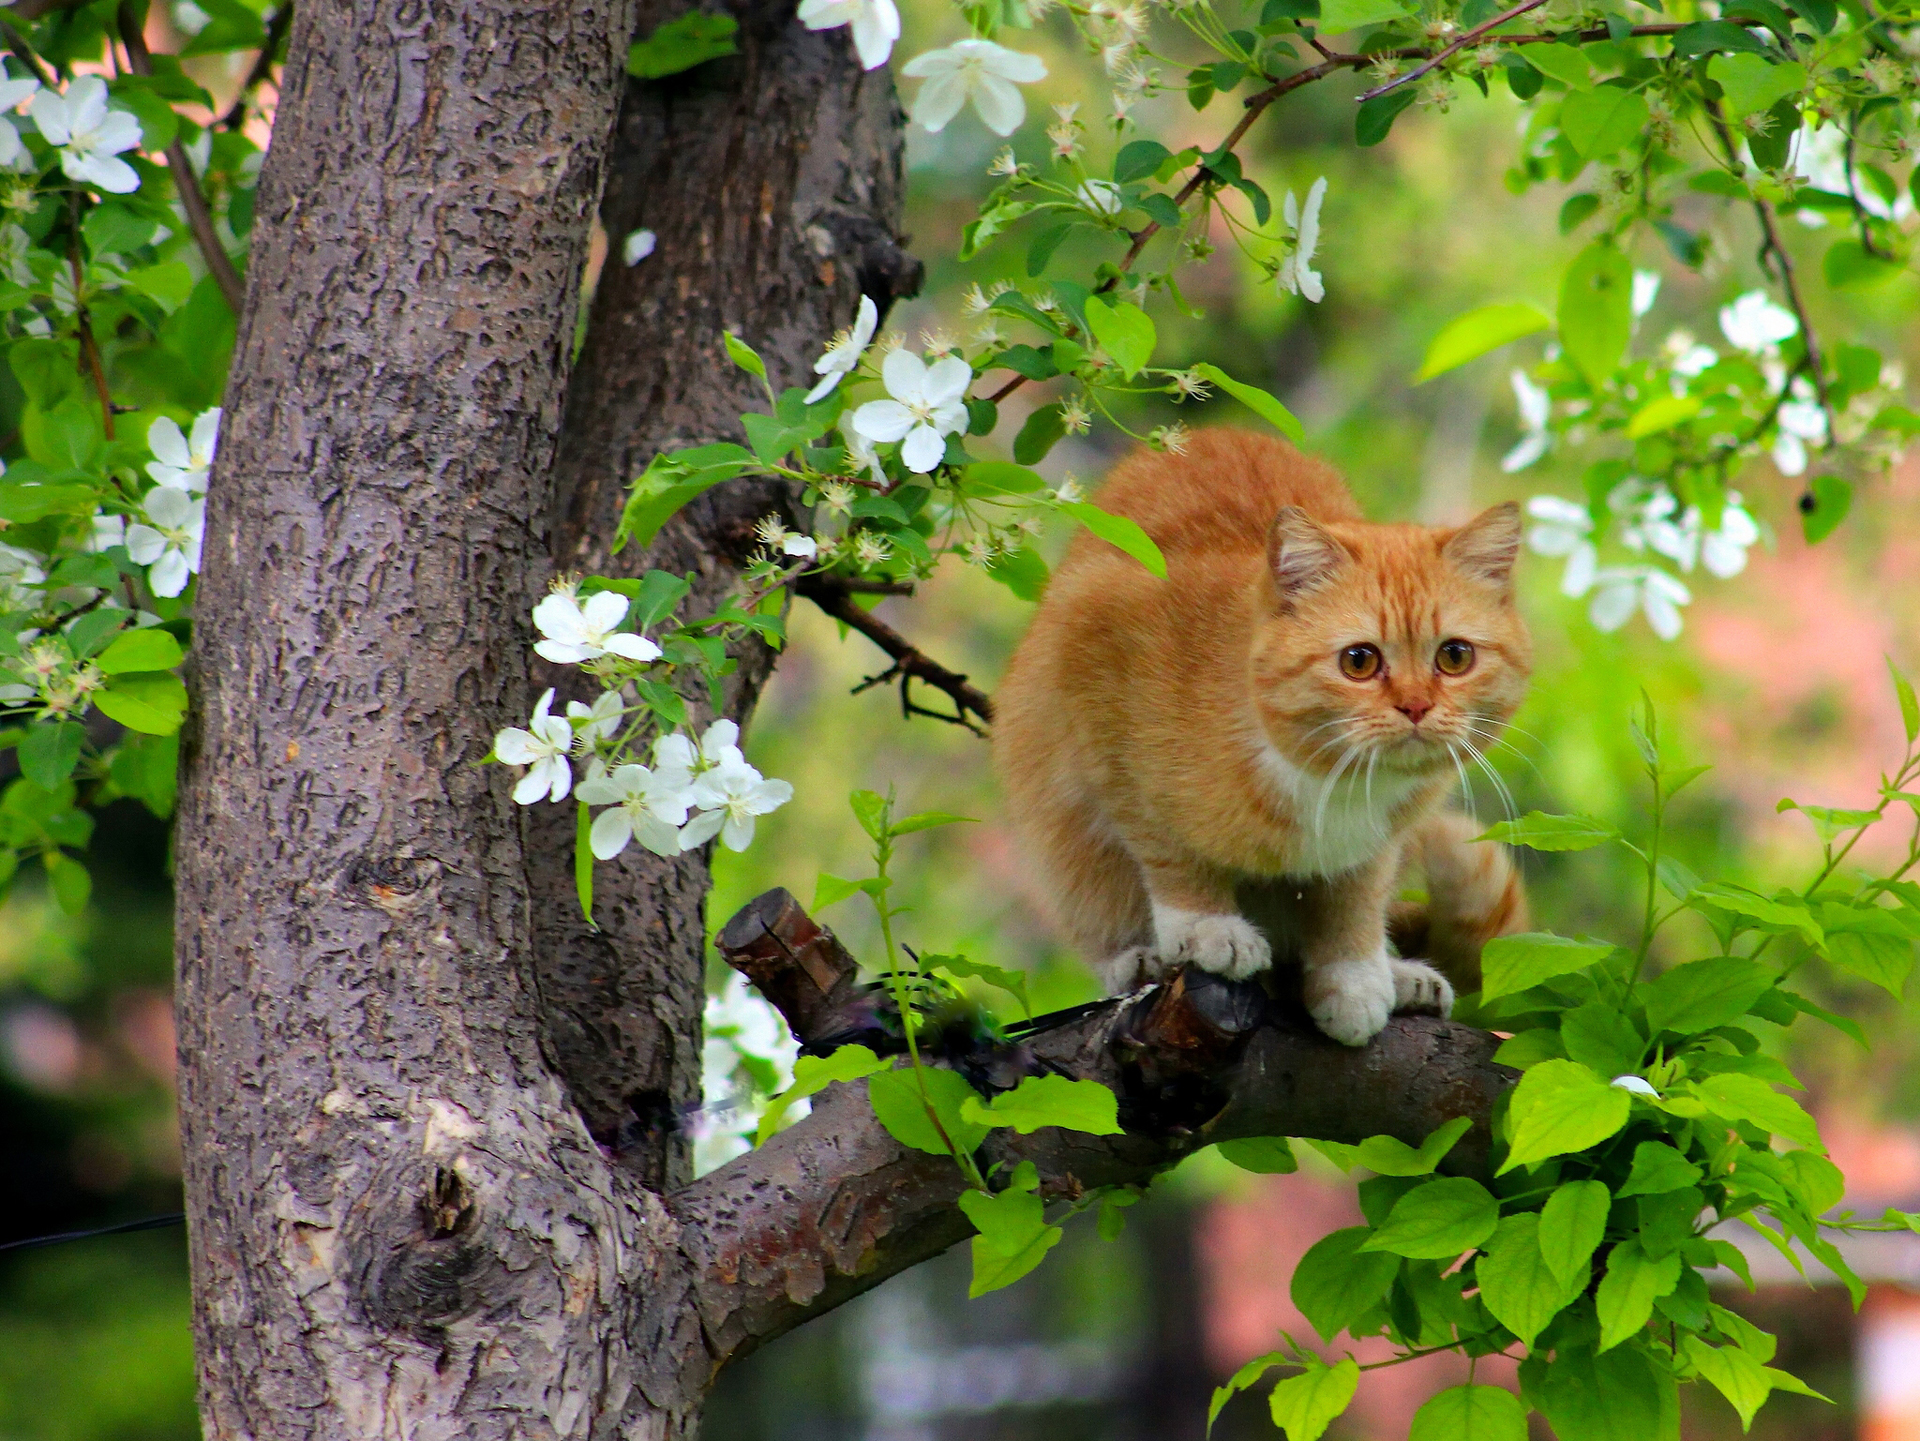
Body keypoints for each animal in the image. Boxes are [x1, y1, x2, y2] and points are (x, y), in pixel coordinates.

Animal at [1006, 427, 1528, 1051]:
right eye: (1359, 661)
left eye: (1454, 656)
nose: (1417, 706)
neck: (1327, 782)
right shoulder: (1096, 668)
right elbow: (1166, 843)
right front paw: (1206, 926)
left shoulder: (1385, 836)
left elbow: (1356, 893)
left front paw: (1356, 973)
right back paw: (1139, 959)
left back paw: (1398, 974)